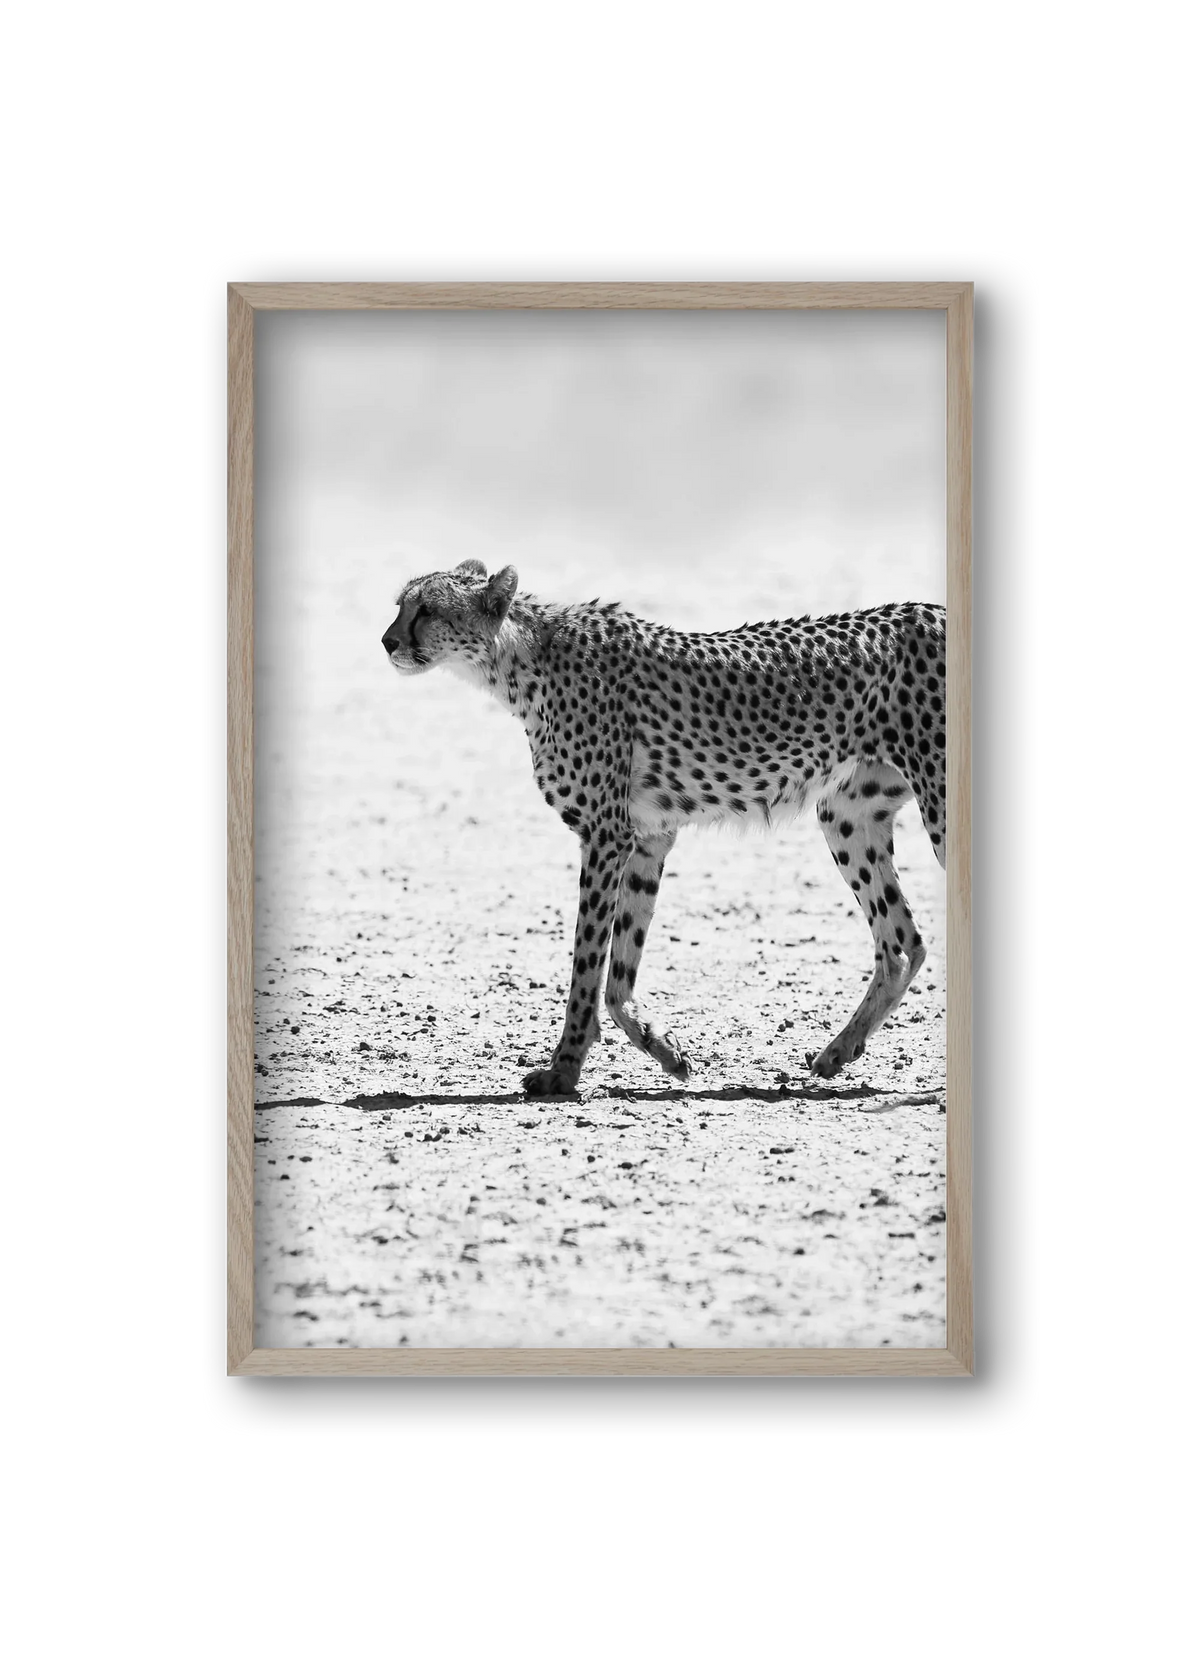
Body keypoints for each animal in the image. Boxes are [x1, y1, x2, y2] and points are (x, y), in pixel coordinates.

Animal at [383, 559, 947, 1097]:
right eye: (400, 605)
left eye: (427, 609)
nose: (387, 641)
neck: (519, 659)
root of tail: (933, 608)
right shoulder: (648, 838)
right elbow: (619, 972)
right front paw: (665, 1050)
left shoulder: (606, 835)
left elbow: (587, 963)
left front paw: (563, 1070)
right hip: (847, 815)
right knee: (902, 943)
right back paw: (837, 1052)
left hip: (937, 806)